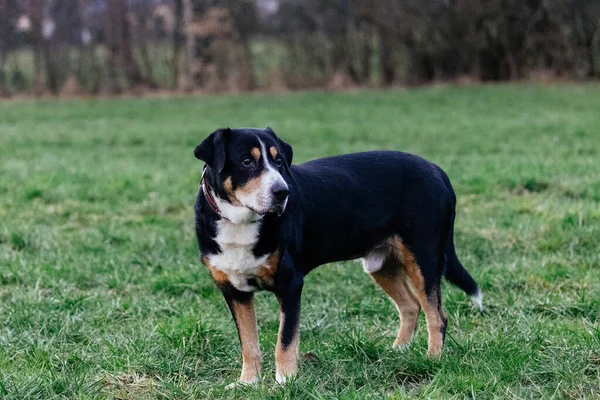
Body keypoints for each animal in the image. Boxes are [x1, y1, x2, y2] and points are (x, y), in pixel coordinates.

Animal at [193, 126, 482, 386]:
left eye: (278, 161)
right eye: (246, 161)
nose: (282, 192)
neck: (240, 223)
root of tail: (436, 169)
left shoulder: (290, 285)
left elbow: (285, 341)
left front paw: (285, 381)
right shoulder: (234, 291)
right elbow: (249, 343)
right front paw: (248, 383)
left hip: (424, 257)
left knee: (437, 316)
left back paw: (431, 360)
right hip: (381, 265)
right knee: (411, 305)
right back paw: (398, 352)